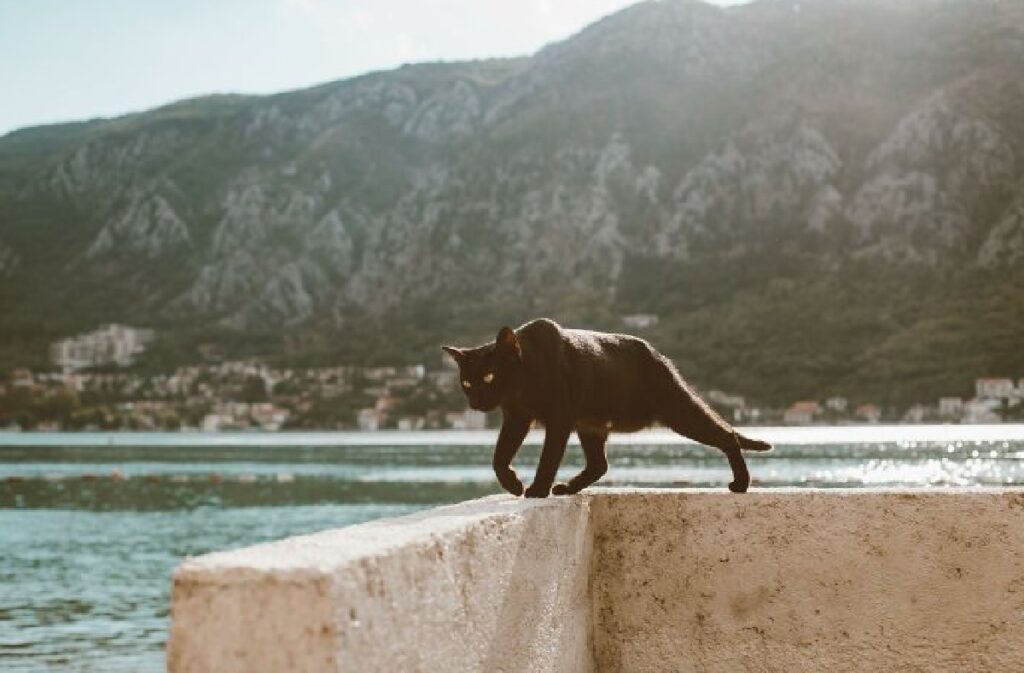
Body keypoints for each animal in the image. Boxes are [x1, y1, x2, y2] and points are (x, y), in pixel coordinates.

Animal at [440, 317, 770, 495]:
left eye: (489, 376)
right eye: (466, 383)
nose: (475, 402)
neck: (524, 385)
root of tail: (659, 356)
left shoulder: (558, 419)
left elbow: (547, 459)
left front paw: (536, 490)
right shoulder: (517, 419)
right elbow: (499, 456)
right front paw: (513, 484)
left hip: (679, 411)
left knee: (727, 435)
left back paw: (741, 483)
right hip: (592, 425)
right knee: (599, 464)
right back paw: (569, 488)